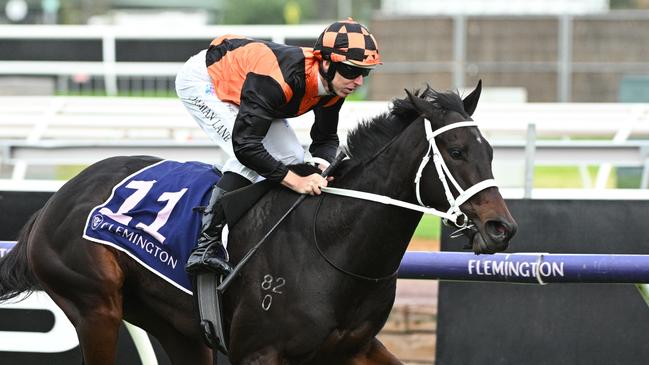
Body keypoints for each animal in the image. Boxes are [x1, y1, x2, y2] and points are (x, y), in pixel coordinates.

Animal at [0, 81, 516, 362]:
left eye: (491, 151)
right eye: (456, 151)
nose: (502, 228)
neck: (331, 244)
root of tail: (53, 203)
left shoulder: (353, 348)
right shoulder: (259, 352)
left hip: (174, 325)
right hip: (94, 307)